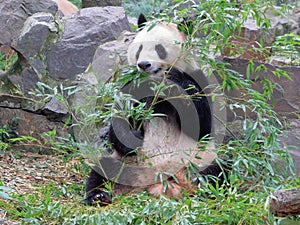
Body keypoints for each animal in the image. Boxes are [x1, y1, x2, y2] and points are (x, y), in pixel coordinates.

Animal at [84, 14, 227, 206]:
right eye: (139, 49)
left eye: (160, 49)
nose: (144, 64)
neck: (155, 82)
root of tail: (160, 183)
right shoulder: (132, 87)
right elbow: (120, 120)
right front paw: (134, 137)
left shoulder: (197, 79)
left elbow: (202, 125)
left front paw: (175, 80)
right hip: (124, 162)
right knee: (102, 170)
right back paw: (98, 196)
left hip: (199, 160)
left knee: (220, 171)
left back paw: (211, 193)